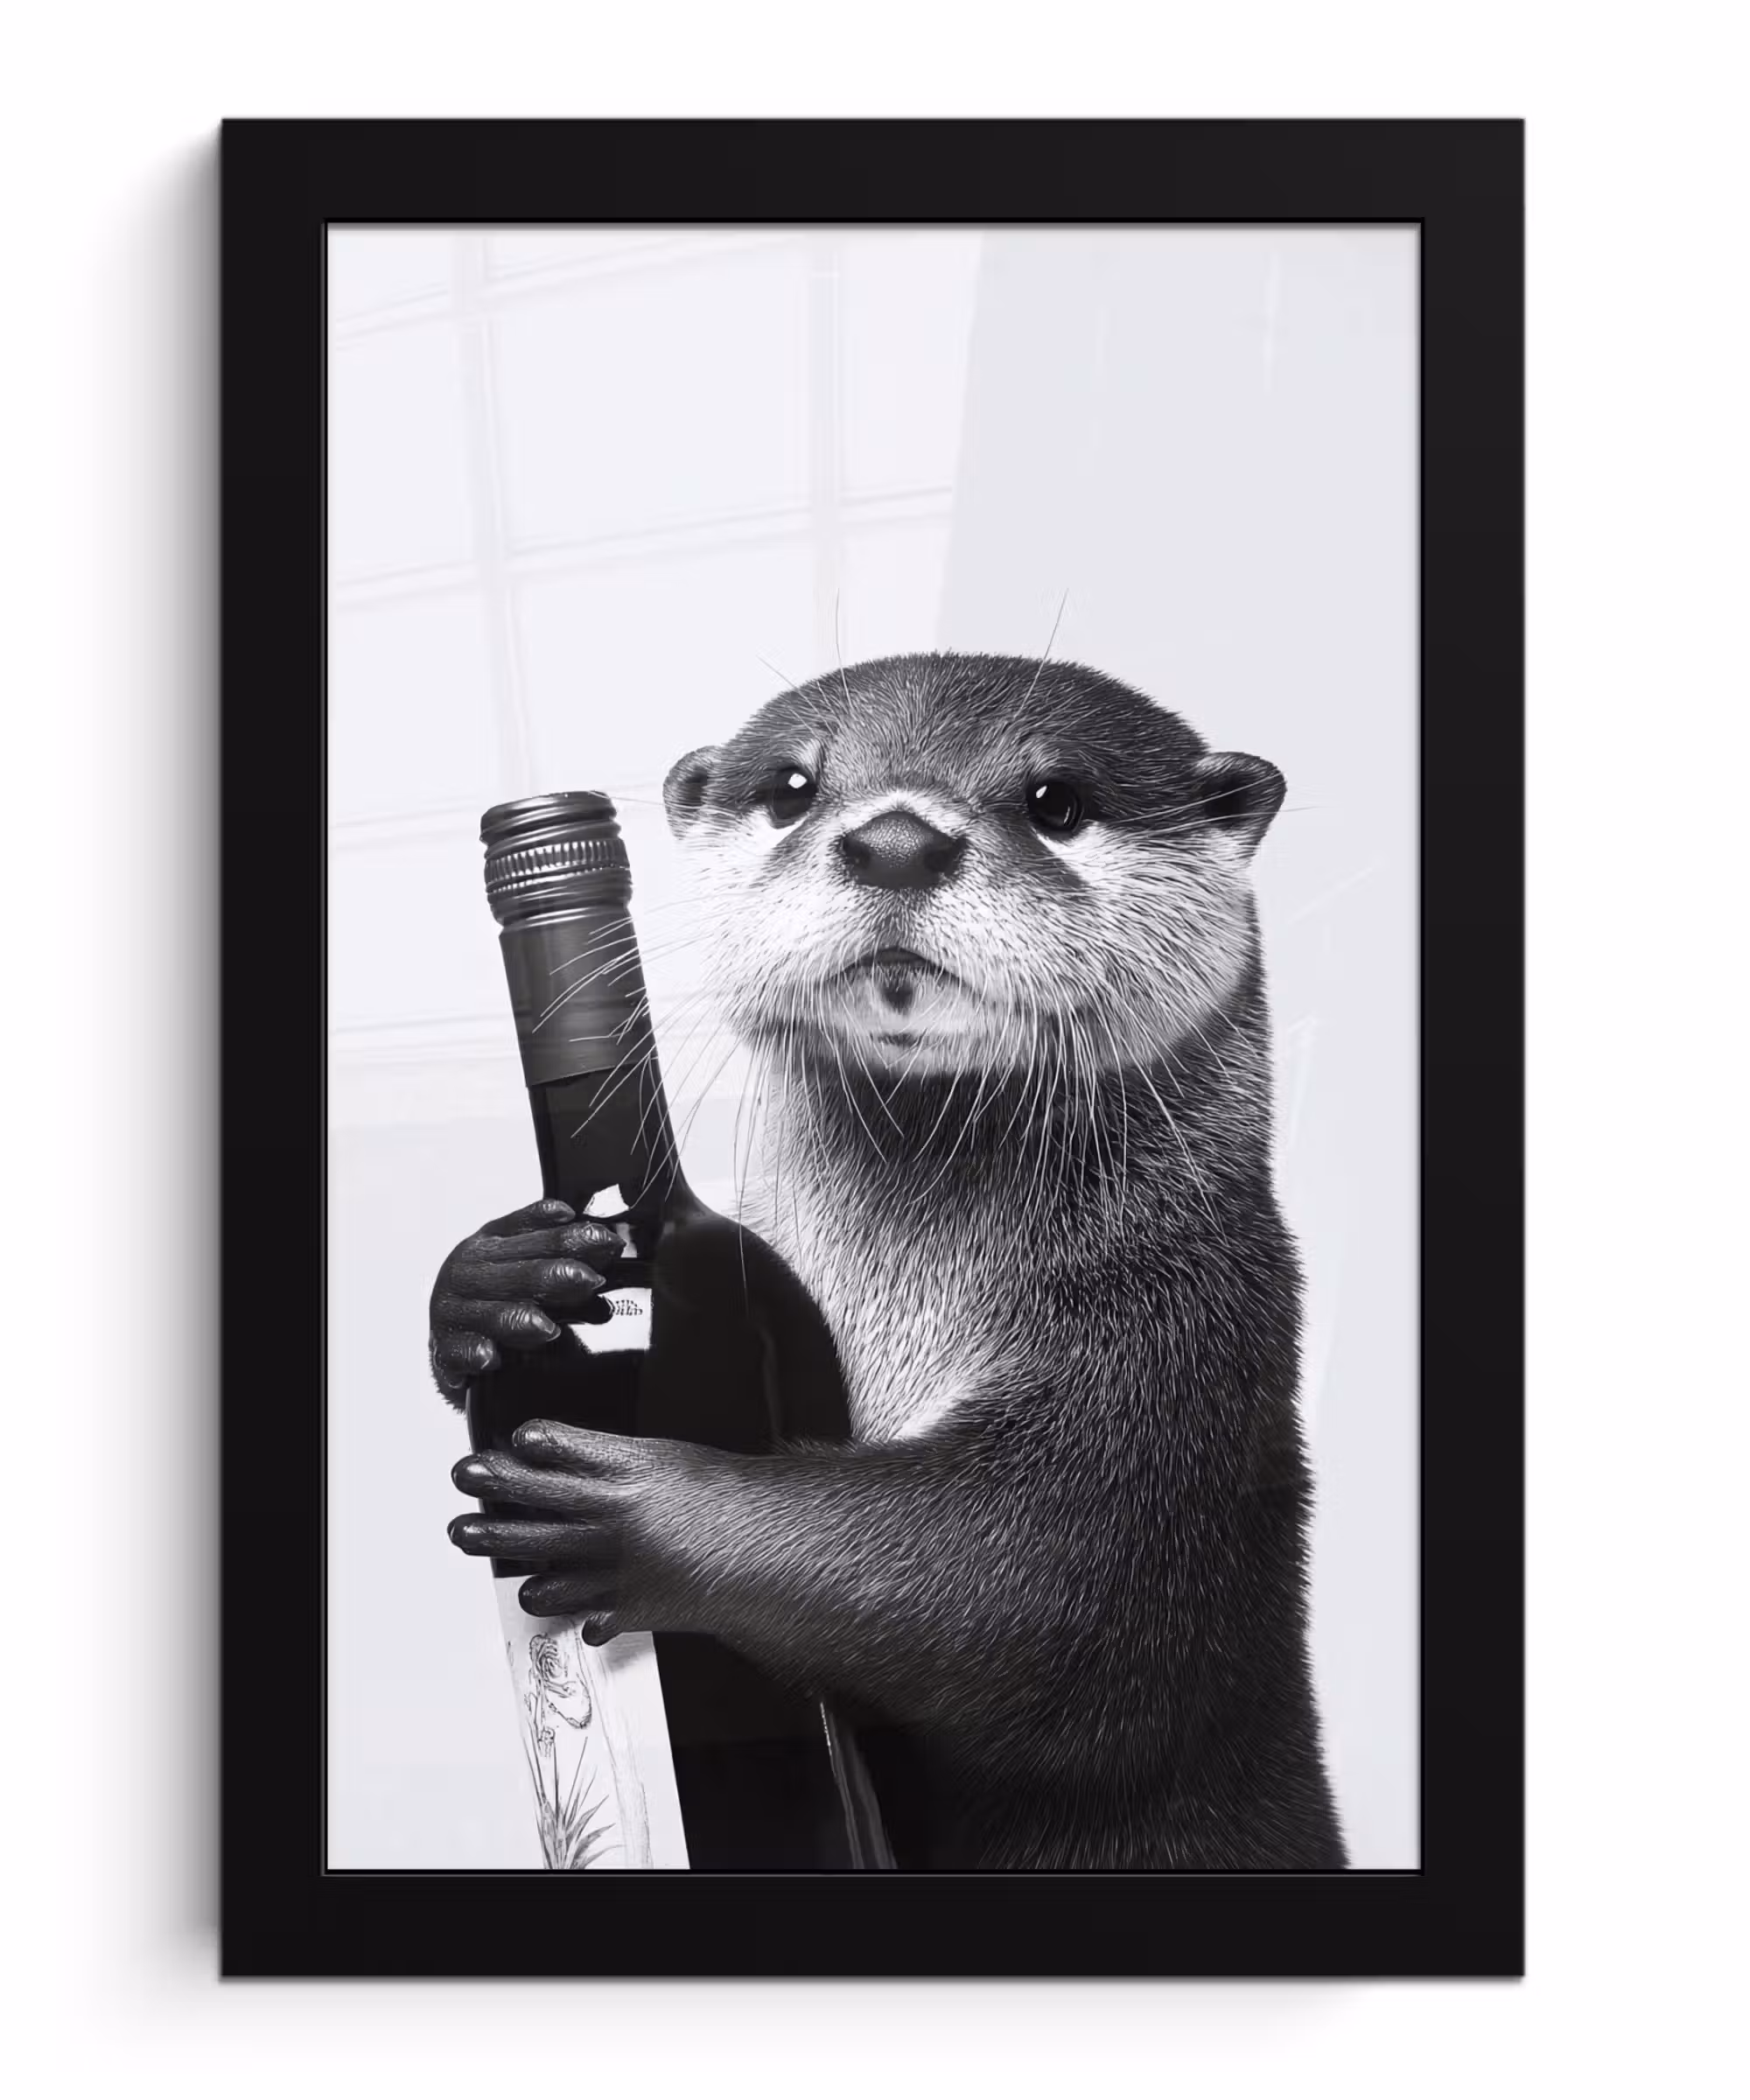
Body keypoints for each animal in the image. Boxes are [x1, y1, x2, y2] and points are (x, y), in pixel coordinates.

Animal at [433, 651, 1346, 1870]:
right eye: (791, 787)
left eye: (1054, 800)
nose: (896, 839)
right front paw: (489, 1283)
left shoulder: (1185, 1341)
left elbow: (1026, 1570)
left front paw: (646, 1512)